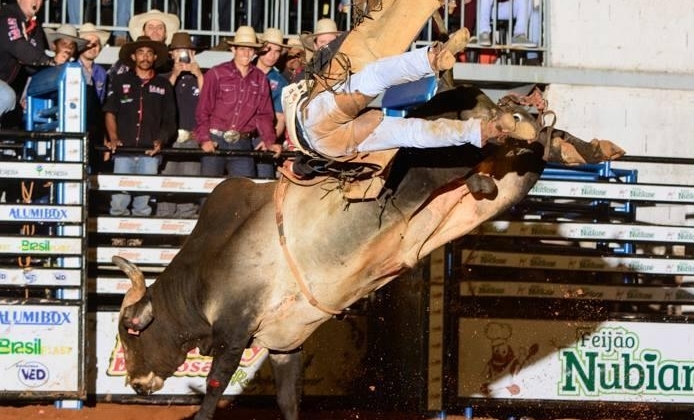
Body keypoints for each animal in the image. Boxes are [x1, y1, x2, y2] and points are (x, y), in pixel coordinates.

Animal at [113, 0, 624, 420]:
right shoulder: (285, 343)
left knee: (461, 141)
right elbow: (288, 399)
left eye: (128, 333)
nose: (135, 384)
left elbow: (216, 385)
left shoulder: (234, 330)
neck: (208, 266)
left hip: (427, 158)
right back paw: (555, 135)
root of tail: (476, 96)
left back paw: (497, 109)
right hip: (512, 177)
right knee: (529, 151)